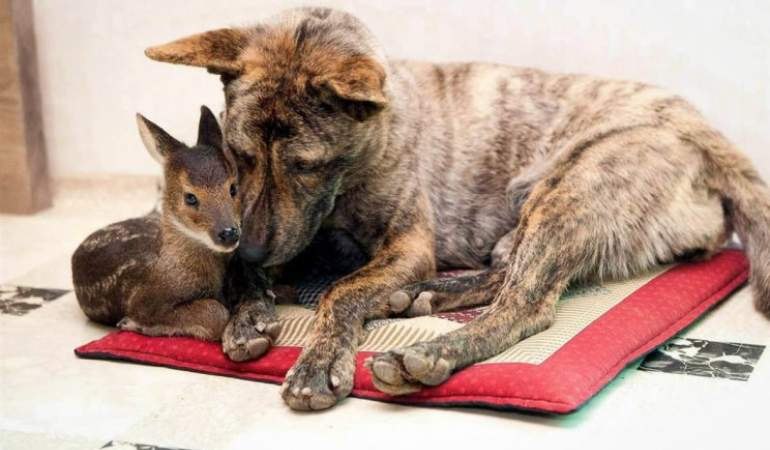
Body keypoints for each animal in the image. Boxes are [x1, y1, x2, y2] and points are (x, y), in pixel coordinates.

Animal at [71, 106, 243, 341]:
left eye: (233, 188)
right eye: (190, 197)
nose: (228, 233)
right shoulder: (143, 302)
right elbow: (217, 313)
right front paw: (132, 324)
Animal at [145, 7, 770, 410]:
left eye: (305, 165)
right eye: (240, 156)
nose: (246, 248)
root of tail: (698, 127)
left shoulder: (407, 244)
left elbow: (342, 292)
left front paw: (319, 359)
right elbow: (256, 278)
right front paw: (249, 311)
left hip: (570, 192)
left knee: (526, 303)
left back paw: (432, 349)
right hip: (530, 212)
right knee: (504, 273)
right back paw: (423, 297)